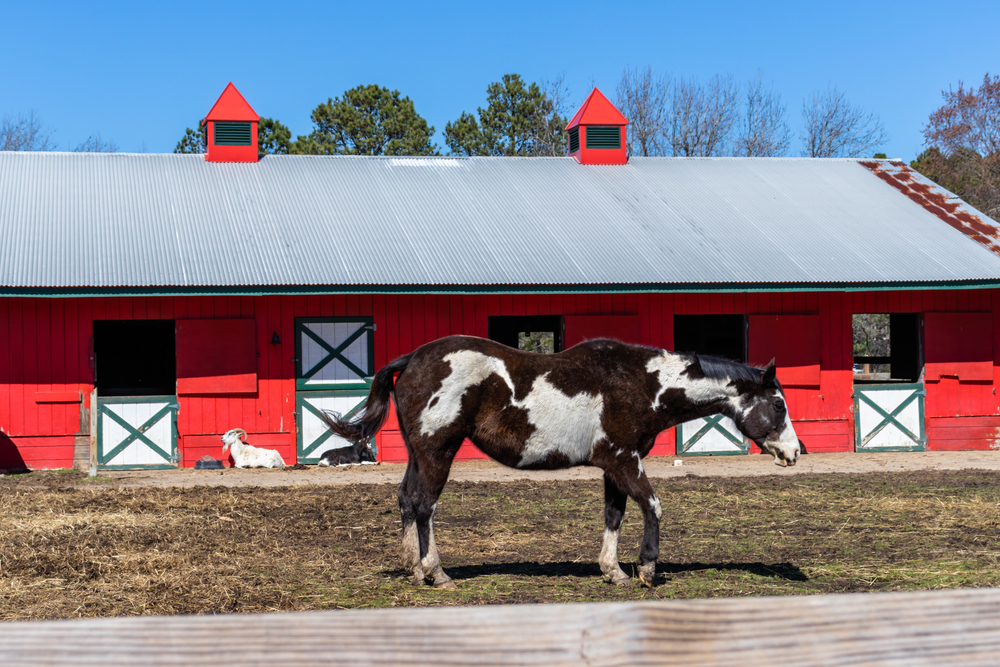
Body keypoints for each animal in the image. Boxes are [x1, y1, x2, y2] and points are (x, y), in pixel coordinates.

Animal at [324, 336, 800, 588]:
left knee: (407, 501)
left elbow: (614, 515)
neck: (644, 384)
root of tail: (414, 357)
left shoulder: (613, 467)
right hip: (438, 452)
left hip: (419, 455)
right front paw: (646, 568)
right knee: (424, 506)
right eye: (778, 405)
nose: (795, 452)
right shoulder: (625, 461)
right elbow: (653, 506)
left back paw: (414, 569)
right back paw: (436, 573)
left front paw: (613, 571)